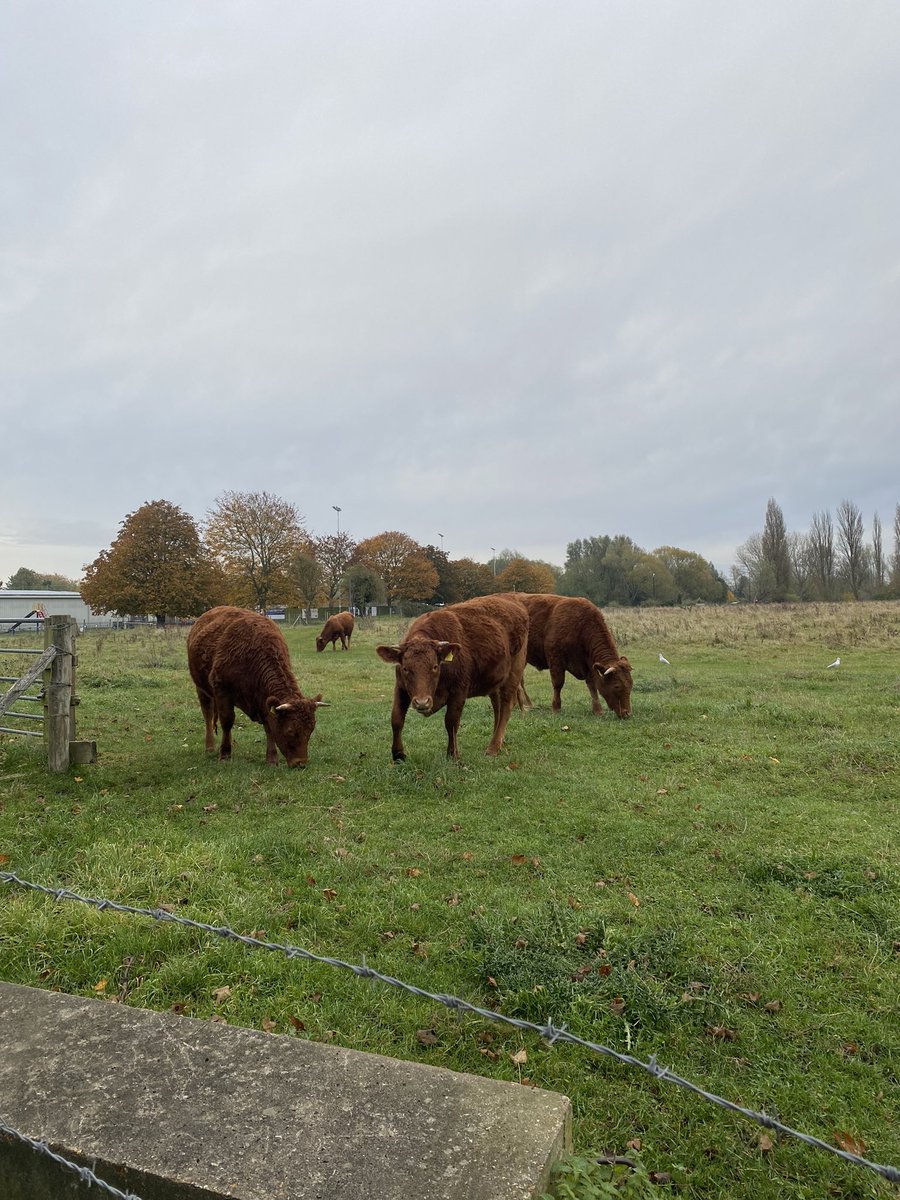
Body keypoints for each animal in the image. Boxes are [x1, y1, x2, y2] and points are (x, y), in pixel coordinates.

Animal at [187, 606, 327, 767]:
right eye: (291, 730)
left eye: (310, 730)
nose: (300, 763)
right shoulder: (222, 691)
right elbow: (227, 721)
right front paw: (225, 755)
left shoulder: (263, 698)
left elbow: (269, 726)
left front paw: (272, 759)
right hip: (202, 689)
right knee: (207, 714)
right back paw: (210, 747)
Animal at [376, 595, 528, 761]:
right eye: (405, 668)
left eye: (435, 666)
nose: (422, 702)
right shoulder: (401, 688)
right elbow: (396, 719)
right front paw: (398, 754)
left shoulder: (459, 691)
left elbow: (451, 721)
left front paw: (452, 753)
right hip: (495, 681)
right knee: (497, 707)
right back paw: (499, 741)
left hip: (514, 672)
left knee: (506, 706)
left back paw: (493, 747)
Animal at [499, 593, 633, 718]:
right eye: (617, 686)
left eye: (630, 685)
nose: (627, 713)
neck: (580, 626)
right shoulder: (555, 659)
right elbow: (558, 683)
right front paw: (556, 708)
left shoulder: (588, 664)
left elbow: (592, 685)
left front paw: (597, 710)